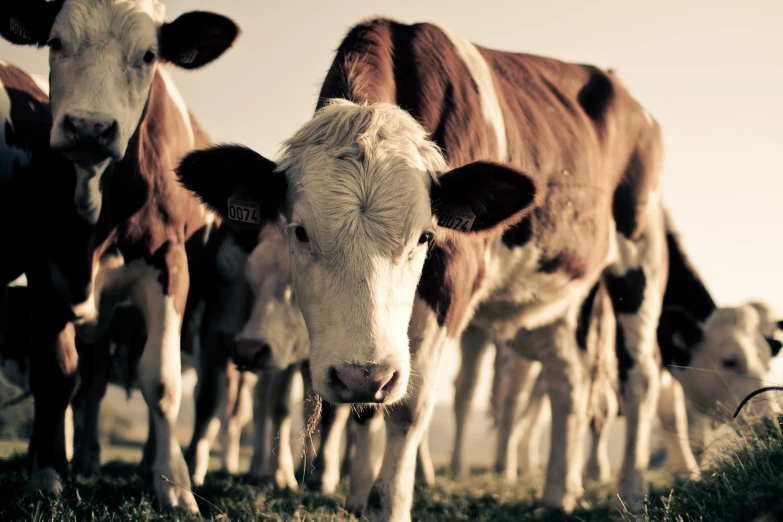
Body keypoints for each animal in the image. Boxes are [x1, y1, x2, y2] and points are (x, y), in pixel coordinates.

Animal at [0, 0, 239, 512]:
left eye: (149, 55)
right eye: (55, 42)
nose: (90, 126)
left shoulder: (168, 265)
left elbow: (162, 382)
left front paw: (175, 487)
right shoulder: (48, 267)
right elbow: (57, 373)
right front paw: (48, 475)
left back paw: (158, 464)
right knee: (90, 383)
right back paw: (86, 458)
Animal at [176, 16, 672, 516]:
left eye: (425, 237)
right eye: (299, 232)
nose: (360, 375)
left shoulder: (452, 280)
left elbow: (407, 408)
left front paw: (389, 505)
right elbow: (366, 412)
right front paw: (359, 494)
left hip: (641, 258)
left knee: (640, 377)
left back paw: (631, 492)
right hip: (560, 296)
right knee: (568, 380)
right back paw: (558, 493)